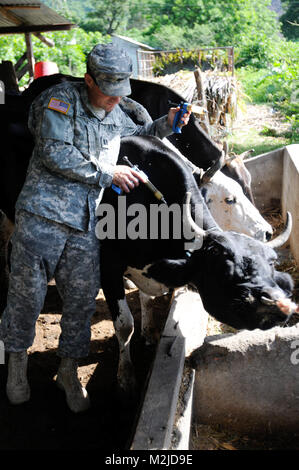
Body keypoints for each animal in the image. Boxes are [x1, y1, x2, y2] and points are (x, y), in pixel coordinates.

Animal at [98, 136, 296, 392]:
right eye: (227, 272)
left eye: (271, 266)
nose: (280, 304)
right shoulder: (108, 265)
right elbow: (124, 325)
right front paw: (126, 376)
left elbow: (146, 300)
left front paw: (149, 333)